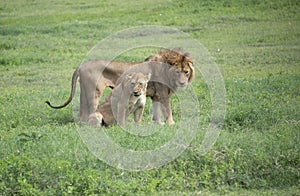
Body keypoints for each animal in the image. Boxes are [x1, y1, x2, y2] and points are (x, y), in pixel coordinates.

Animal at [45, 49, 193, 125]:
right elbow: (168, 111)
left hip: (84, 93)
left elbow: (157, 113)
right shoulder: (162, 95)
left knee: (81, 114)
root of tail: (81, 65)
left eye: (186, 72)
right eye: (177, 72)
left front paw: (159, 125)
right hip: (94, 92)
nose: (182, 83)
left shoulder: (155, 96)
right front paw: (172, 125)